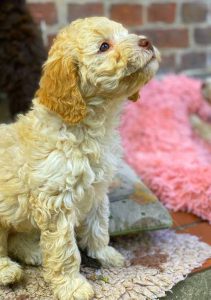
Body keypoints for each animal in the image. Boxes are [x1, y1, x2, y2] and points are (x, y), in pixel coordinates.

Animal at [0, 17, 160, 300]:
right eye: (104, 46)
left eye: (125, 33)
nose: (147, 41)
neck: (91, 127)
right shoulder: (56, 203)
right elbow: (65, 250)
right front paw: (72, 286)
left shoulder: (97, 192)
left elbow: (99, 228)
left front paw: (106, 255)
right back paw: (8, 270)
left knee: (17, 237)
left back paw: (34, 252)